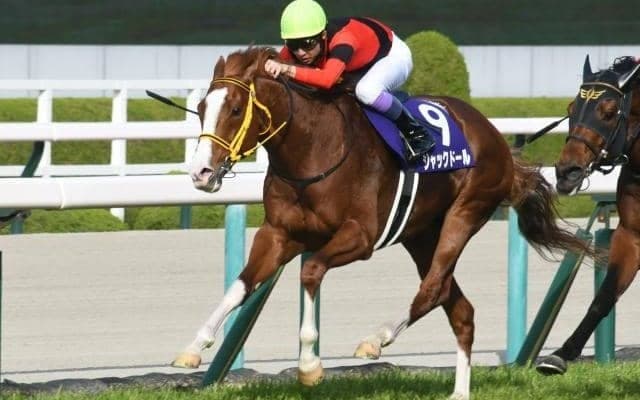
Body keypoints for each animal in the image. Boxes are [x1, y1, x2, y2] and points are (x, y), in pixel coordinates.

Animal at [173, 46, 592, 399]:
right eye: (202, 107)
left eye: (235, 109)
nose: (201, 173)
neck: (312, 148)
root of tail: (497, 138)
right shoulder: (279, 234)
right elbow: (240, 286)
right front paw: (193, 347)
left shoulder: (360, 236)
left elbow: (310, 272)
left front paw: (309, 365)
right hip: (421, 234)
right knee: (458, 306)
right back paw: (459, 392)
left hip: (467, 210)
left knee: (432, 289)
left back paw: (376, 339)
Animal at [536, 55, 640, 375]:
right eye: (572, 108)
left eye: (608, 112)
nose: (567, 171)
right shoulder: (631, 234)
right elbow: (605, 295)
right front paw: (560, 354)